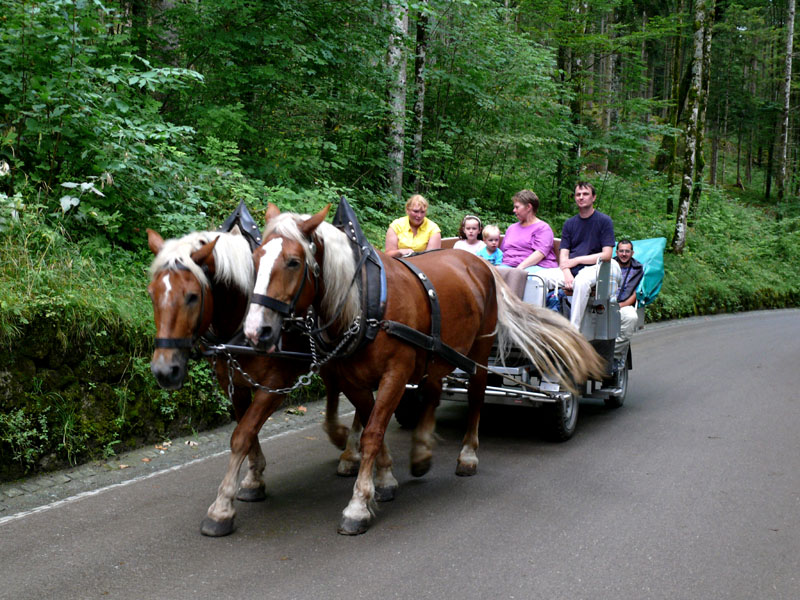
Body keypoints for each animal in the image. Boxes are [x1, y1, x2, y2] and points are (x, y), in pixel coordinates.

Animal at [147, 227, 366, 536]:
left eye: (192, 296)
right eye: (152, 294)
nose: (164, 370)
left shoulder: (274, 386)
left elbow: (242, 435)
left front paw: (221, 508)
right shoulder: (235, 384)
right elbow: (245, 431)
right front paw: (253, 479)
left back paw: (350, 449)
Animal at [244, 205, 608, 536]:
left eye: (294, 262)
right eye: (256, 257)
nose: (255, 330)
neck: (367, 302)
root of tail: (483, 266)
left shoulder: (395, 372)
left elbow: (373, 432)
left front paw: (358, 505)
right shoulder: (353, 379)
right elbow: (371, 422)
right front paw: (385, 479)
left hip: (479, 350)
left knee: (477, 396)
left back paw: (467, 456)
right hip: (437, 352)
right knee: (432, 391)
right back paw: (420, 451)